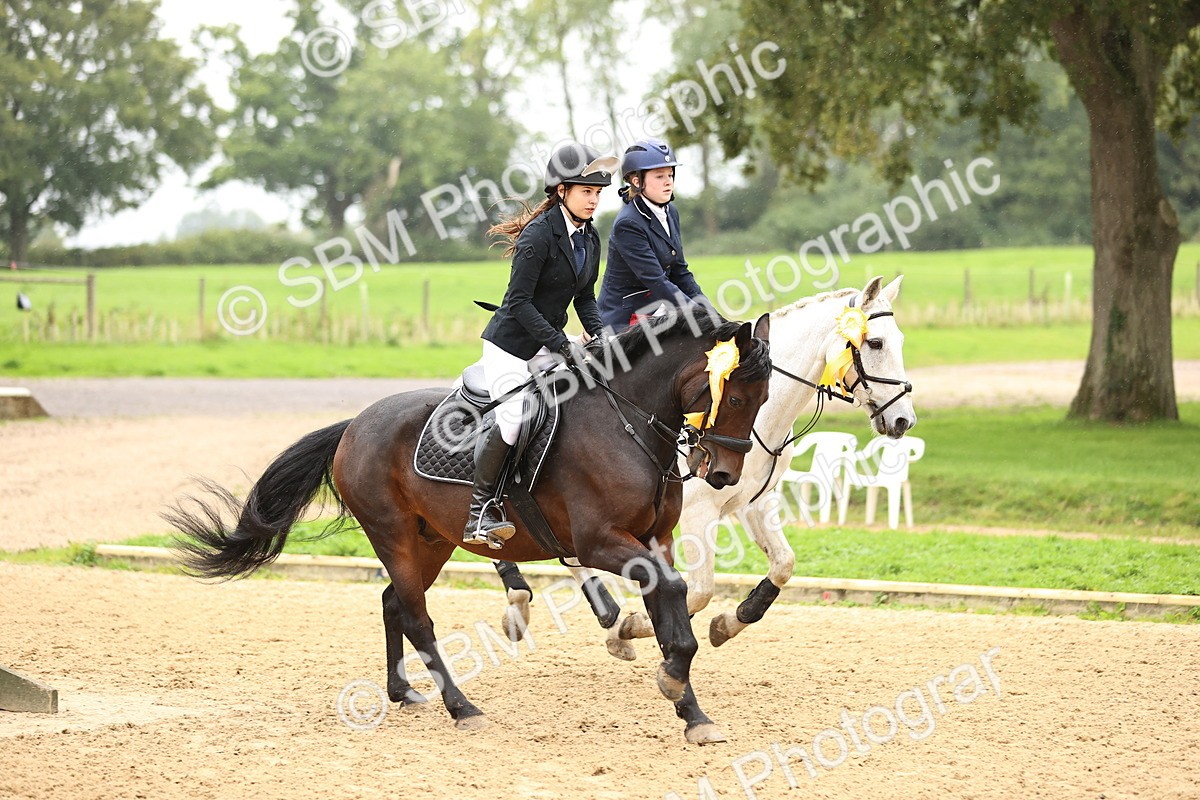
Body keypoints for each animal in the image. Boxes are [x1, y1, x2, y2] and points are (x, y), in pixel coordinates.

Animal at [169, 306, 773, 744]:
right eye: (736, 395)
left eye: (764, 399)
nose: (724, 474)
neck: (626, 421)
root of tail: (355, 425)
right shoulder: (601, 543)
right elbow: (671, 598)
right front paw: (673, 681)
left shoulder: (654, 541)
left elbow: (673, 610)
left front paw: (691, 711)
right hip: (392, 534)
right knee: (416, 616)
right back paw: (461, 707)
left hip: (431, 539)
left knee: (393, 602)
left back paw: (402, 691)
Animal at [492, 276, 916, 658]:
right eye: (875, 343)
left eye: (900, 342)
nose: (903, 421)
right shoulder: (698, 511)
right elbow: (700, 589)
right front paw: (637, 625)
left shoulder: (754, 503)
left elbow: (783, 563)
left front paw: (730, 622)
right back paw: (536, 605)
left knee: (562, 550)